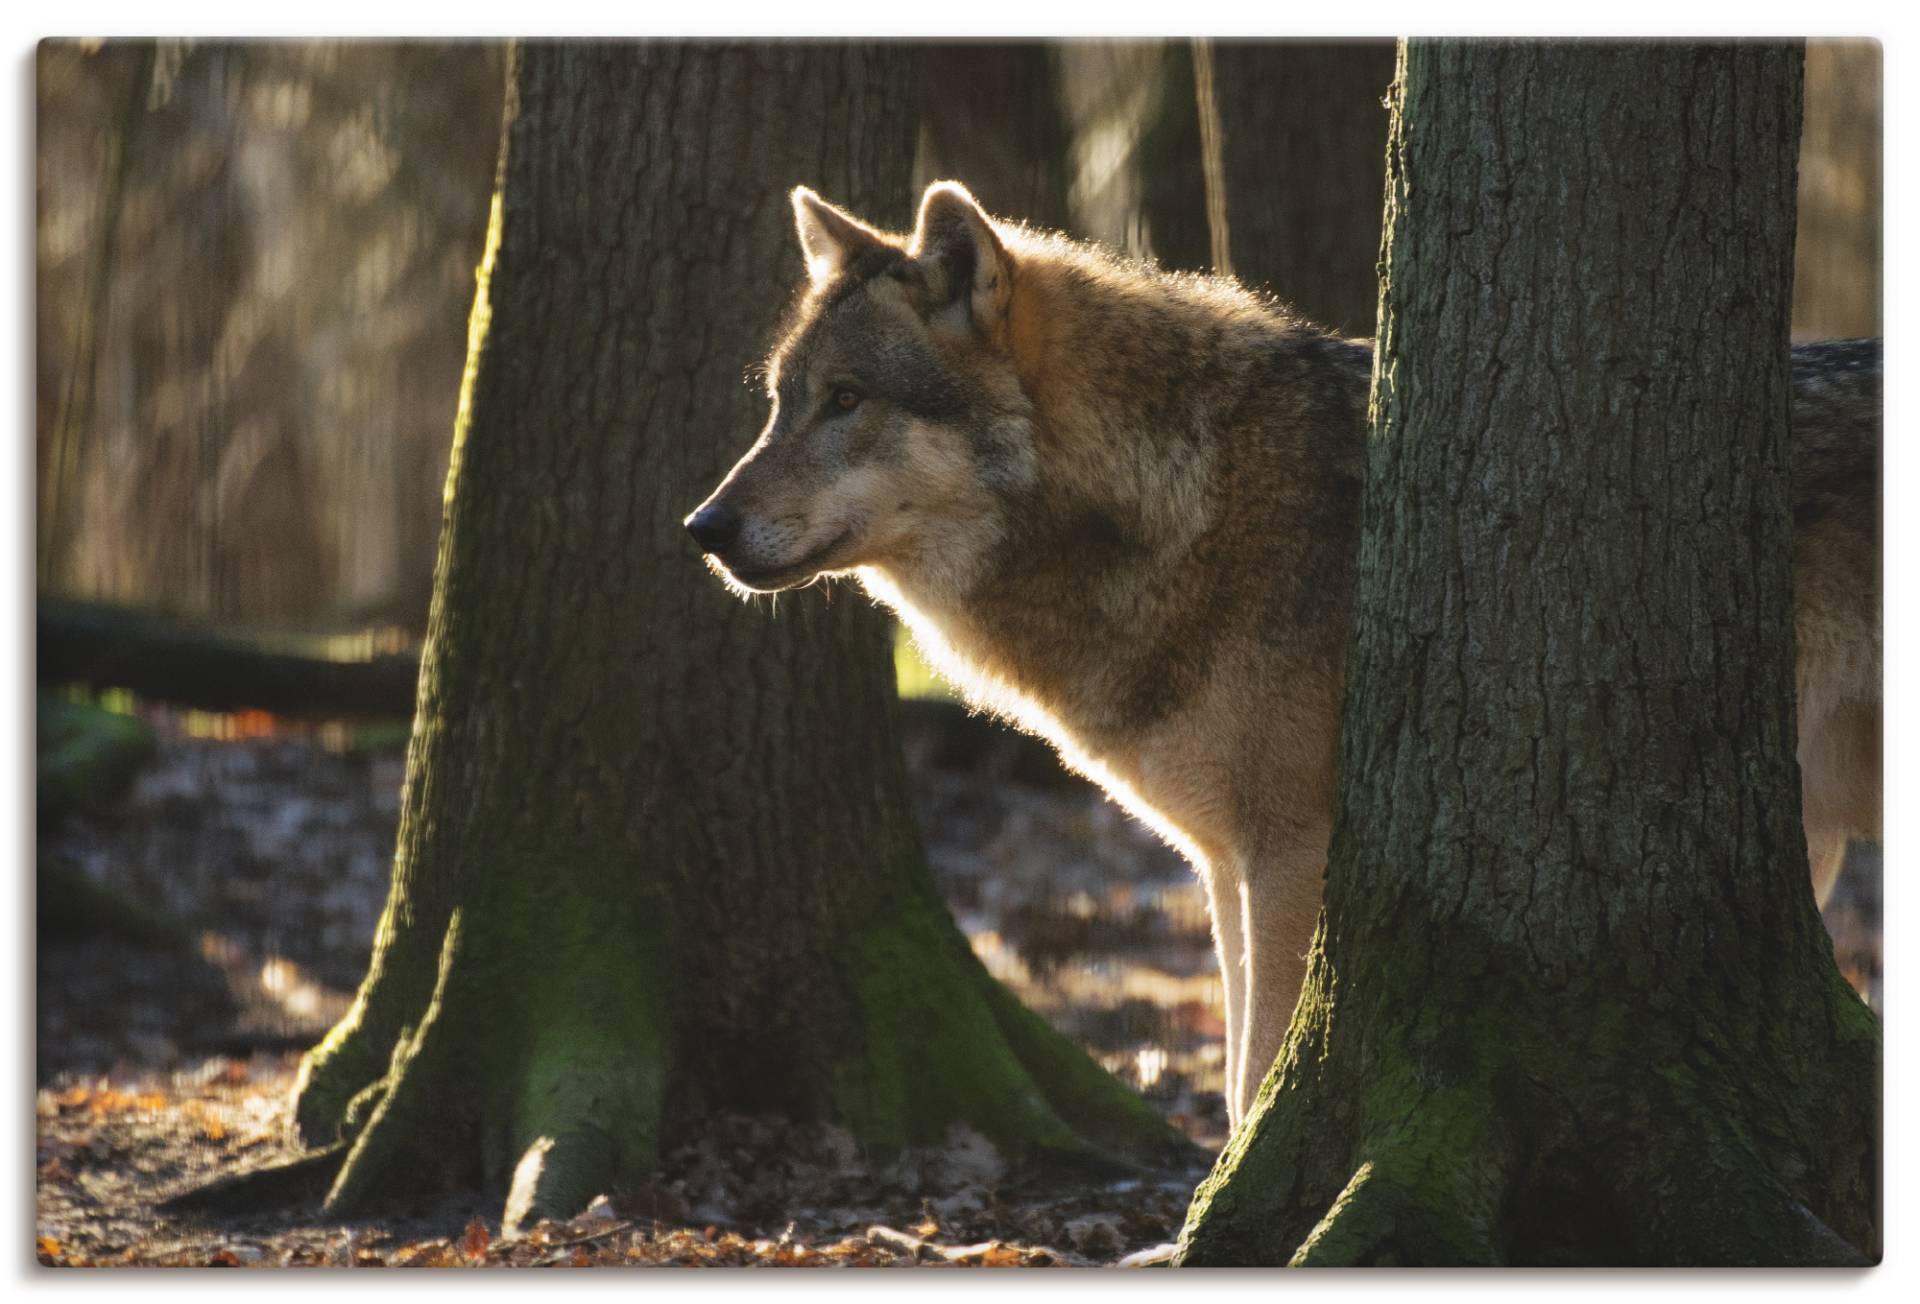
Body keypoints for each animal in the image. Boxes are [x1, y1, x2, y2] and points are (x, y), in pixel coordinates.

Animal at [683, 178, 1881, 1129]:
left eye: (847, 401)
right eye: (782, 402)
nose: (702, 527)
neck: (1190, 503)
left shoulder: (1291, 854)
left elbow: (1257, 1075)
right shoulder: (1223, 866)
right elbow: (1234, 1082)